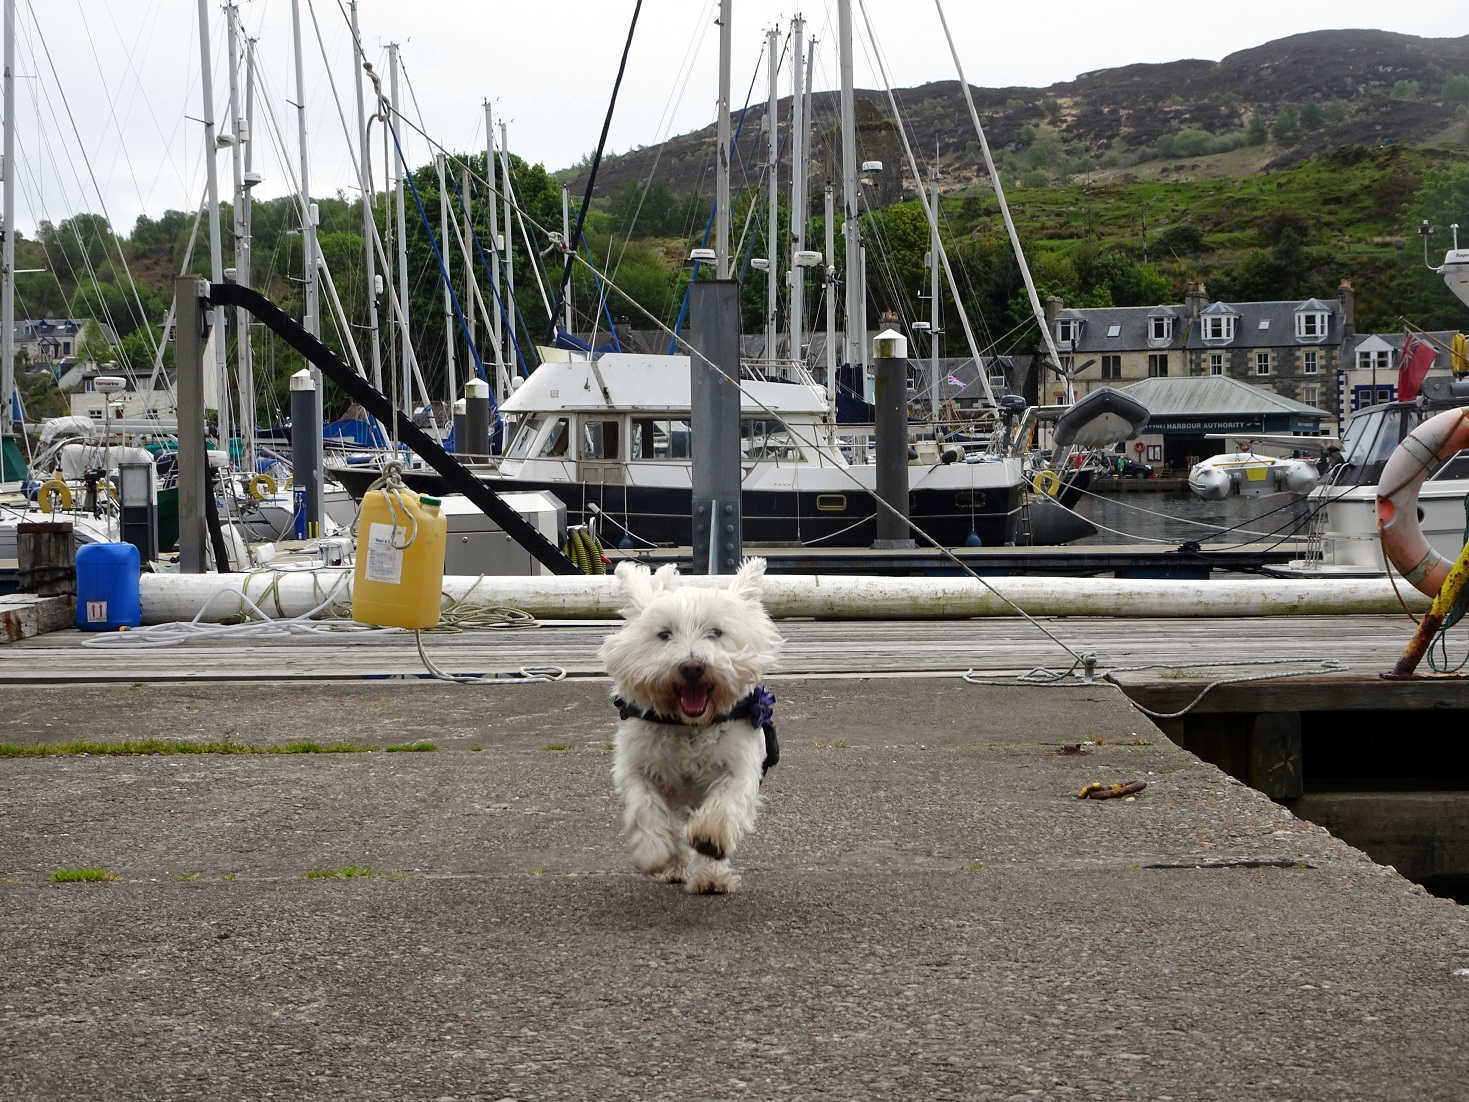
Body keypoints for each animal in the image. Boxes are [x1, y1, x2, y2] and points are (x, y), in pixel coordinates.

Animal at [596, 561, 781, 899]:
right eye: (664, 634)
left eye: (716, 632)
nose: (692, 667)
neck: (688, 725)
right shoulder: (637, 767)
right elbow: (645, 808)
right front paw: (654, 854)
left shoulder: (737, 767)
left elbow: (723, 807)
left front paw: (709, 841)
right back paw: (675, 866)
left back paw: (710, 878)